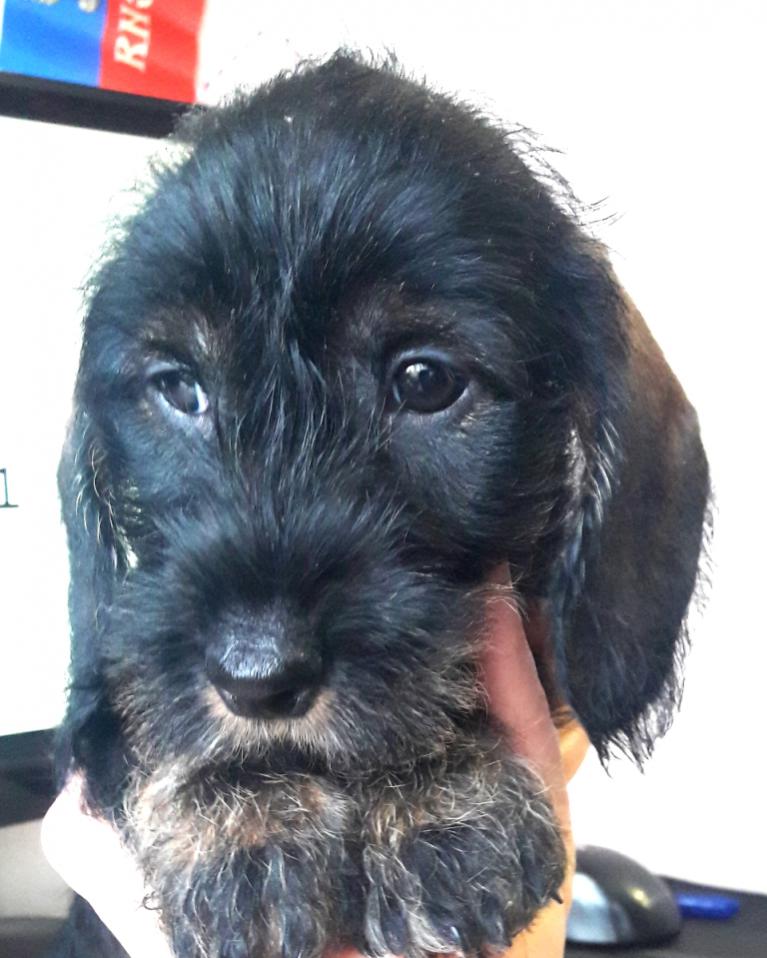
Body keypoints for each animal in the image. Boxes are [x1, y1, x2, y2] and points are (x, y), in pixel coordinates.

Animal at [54, 53, 709, 958]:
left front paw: (442, 793)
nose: (256, 673)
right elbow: (138, 714)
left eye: (425, 380)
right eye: (179, 388)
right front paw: (246, 808)